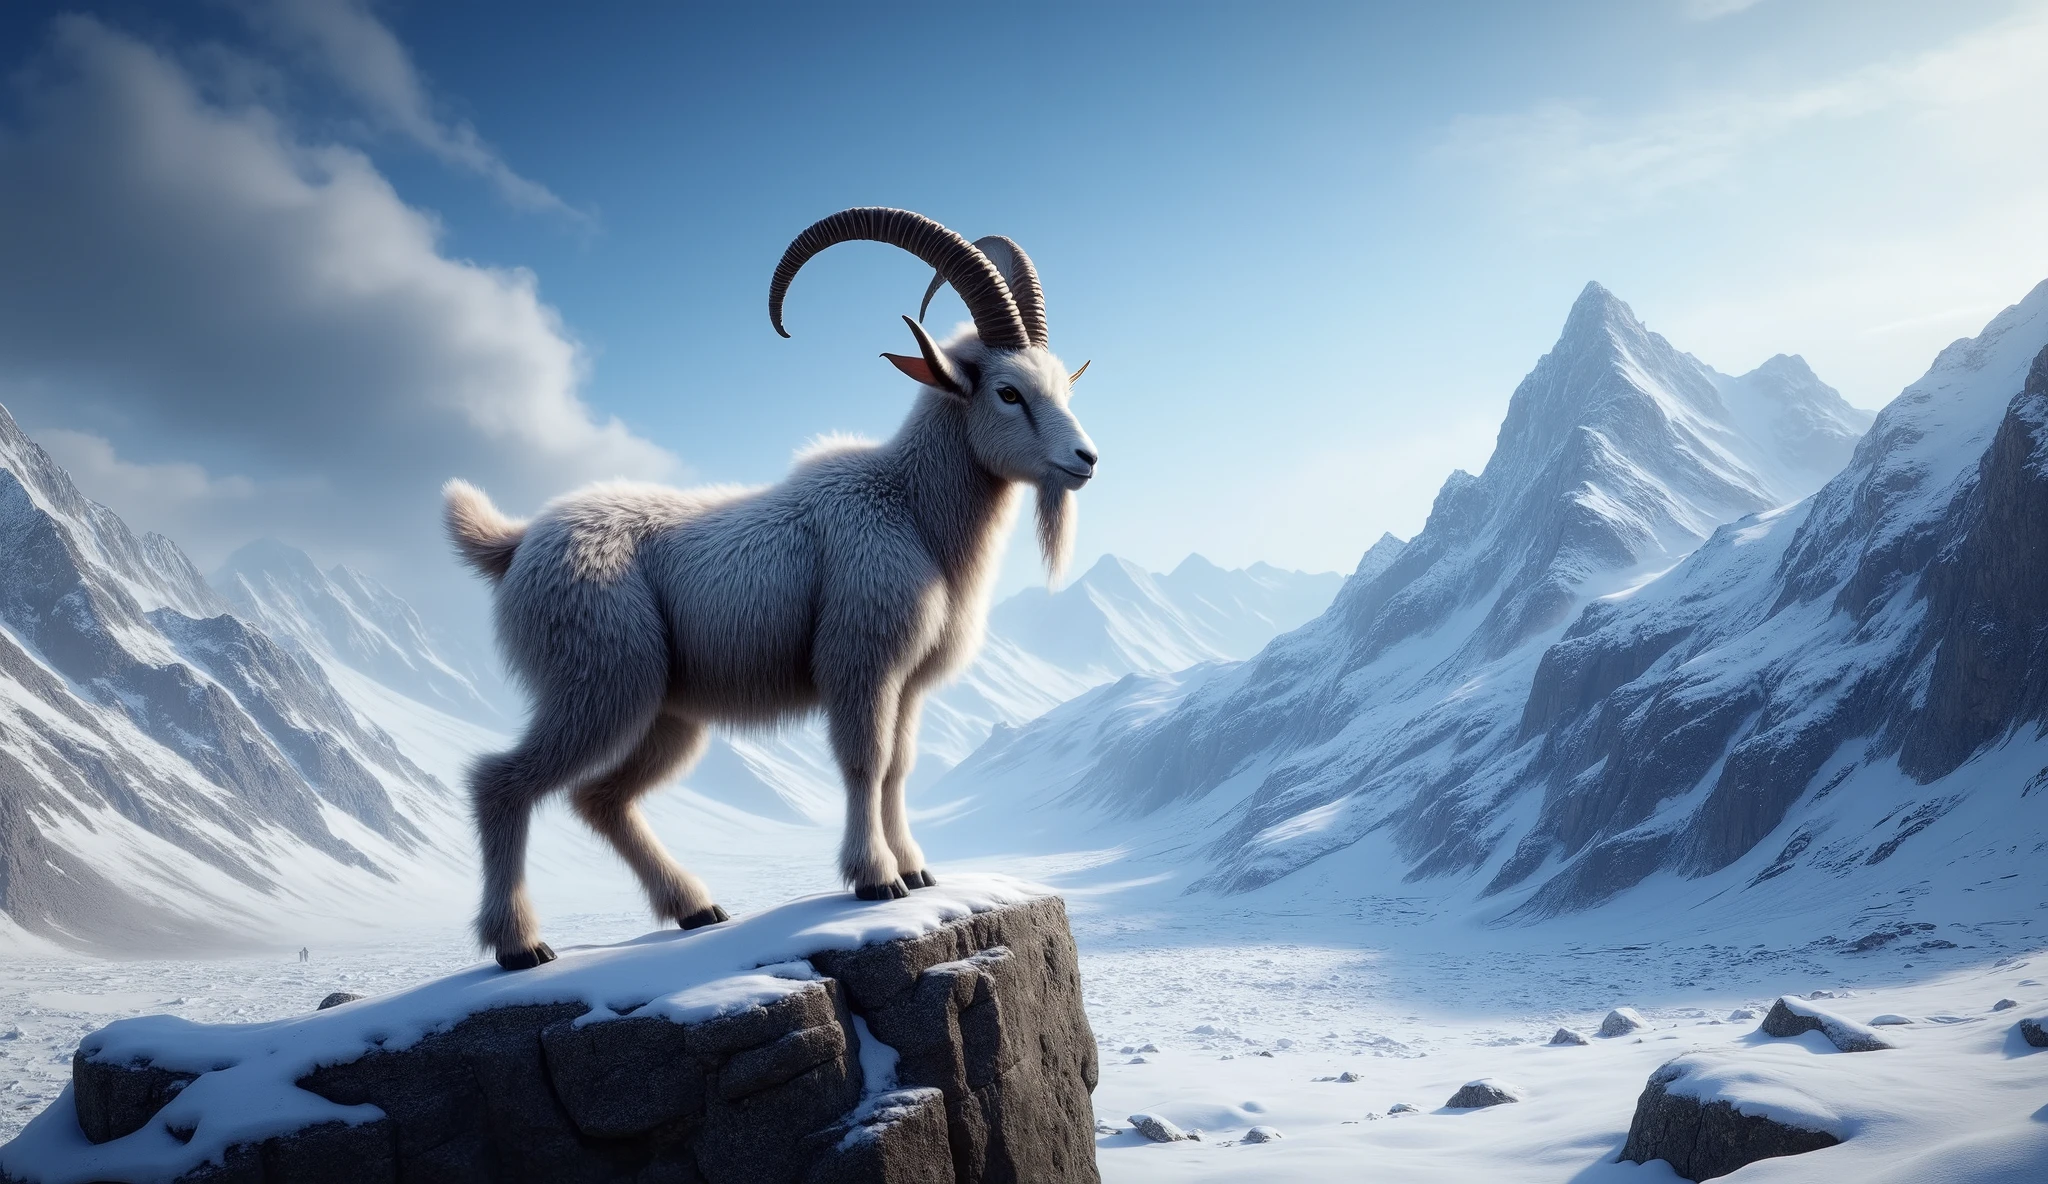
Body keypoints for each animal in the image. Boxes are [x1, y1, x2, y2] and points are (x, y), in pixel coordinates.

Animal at [445, 209, 1098, 969]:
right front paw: (875, 880)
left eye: (1064, 389)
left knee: (600, 798)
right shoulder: (859, 664)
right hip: (600, 683)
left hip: (663, 713)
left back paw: (696, 908)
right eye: (1008, 392)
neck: (909, 507)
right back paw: (520, 945)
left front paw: (916, 871)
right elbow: (865, 762)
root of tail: (516, 543)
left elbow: (899, 768)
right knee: (500, 780)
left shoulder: (905, 685)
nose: (1085, 459)